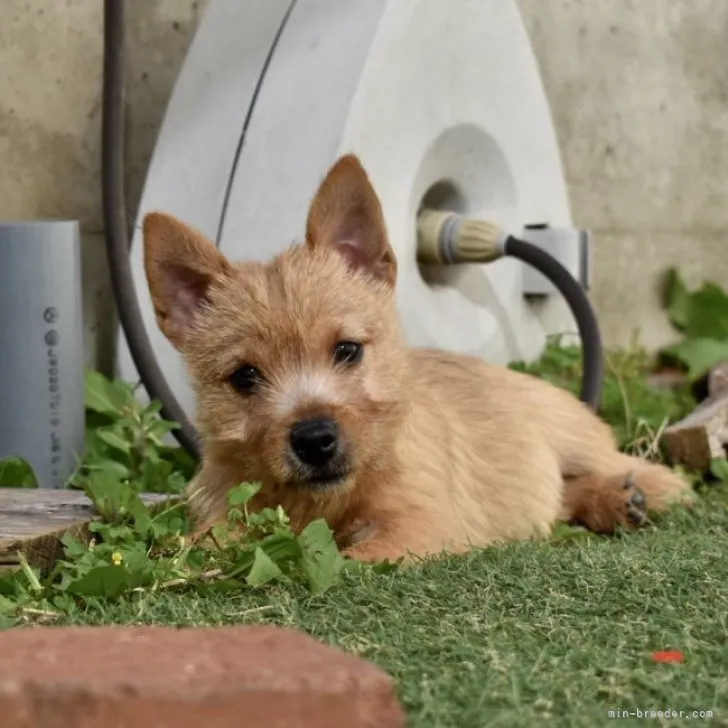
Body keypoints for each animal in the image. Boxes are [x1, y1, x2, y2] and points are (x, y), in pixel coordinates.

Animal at [142, 154, 692, 564]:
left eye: (347, 350)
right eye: (245, 377)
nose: (315, 440)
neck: (321, 502)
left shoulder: (420, 523)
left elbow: (355, 557)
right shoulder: (223, 506)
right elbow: (204, 543)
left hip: (575, 436)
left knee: (644, 473)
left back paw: (632, 493)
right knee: (556, 499)